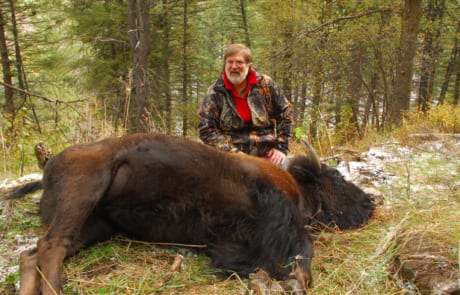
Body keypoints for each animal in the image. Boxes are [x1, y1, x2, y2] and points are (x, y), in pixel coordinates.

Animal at [9, 135, 372, 295]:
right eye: (335, 177)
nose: (370, 204)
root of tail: (50, 165)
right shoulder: (279, 224)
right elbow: (303, 252)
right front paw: (290, 280)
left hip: (97, 226)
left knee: (33, 254)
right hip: (84, 194)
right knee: (51, 246)